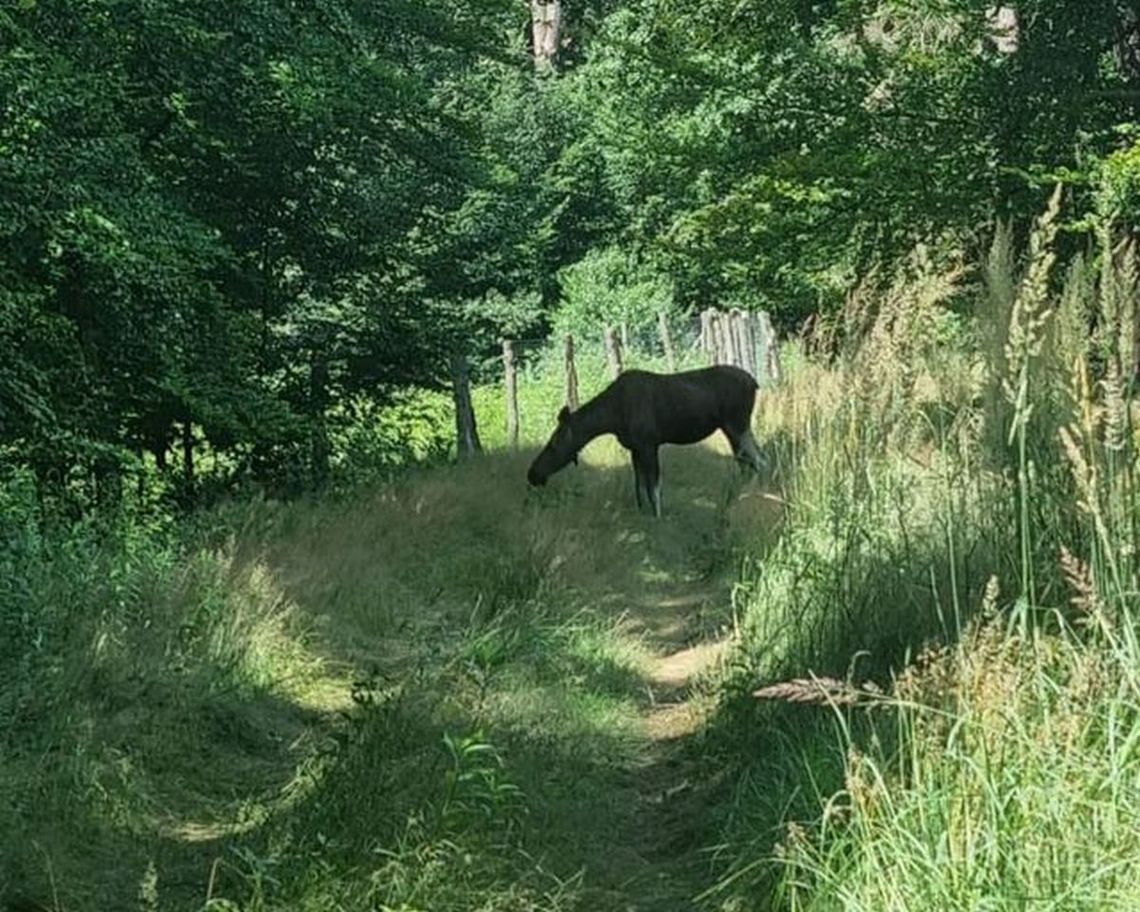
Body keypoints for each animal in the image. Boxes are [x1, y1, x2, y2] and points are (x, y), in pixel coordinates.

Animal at [526, 364, 766, 519]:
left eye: (554, 443)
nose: (532, 474)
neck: (612, 418)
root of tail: (755, 383)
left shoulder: (649, 444)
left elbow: (654, 487)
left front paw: (658, 516)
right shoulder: (635, 448)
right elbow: (639, 485)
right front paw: (643, 513)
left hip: (738, 424)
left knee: (760, 460)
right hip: (731, 428)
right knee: (746, 461)